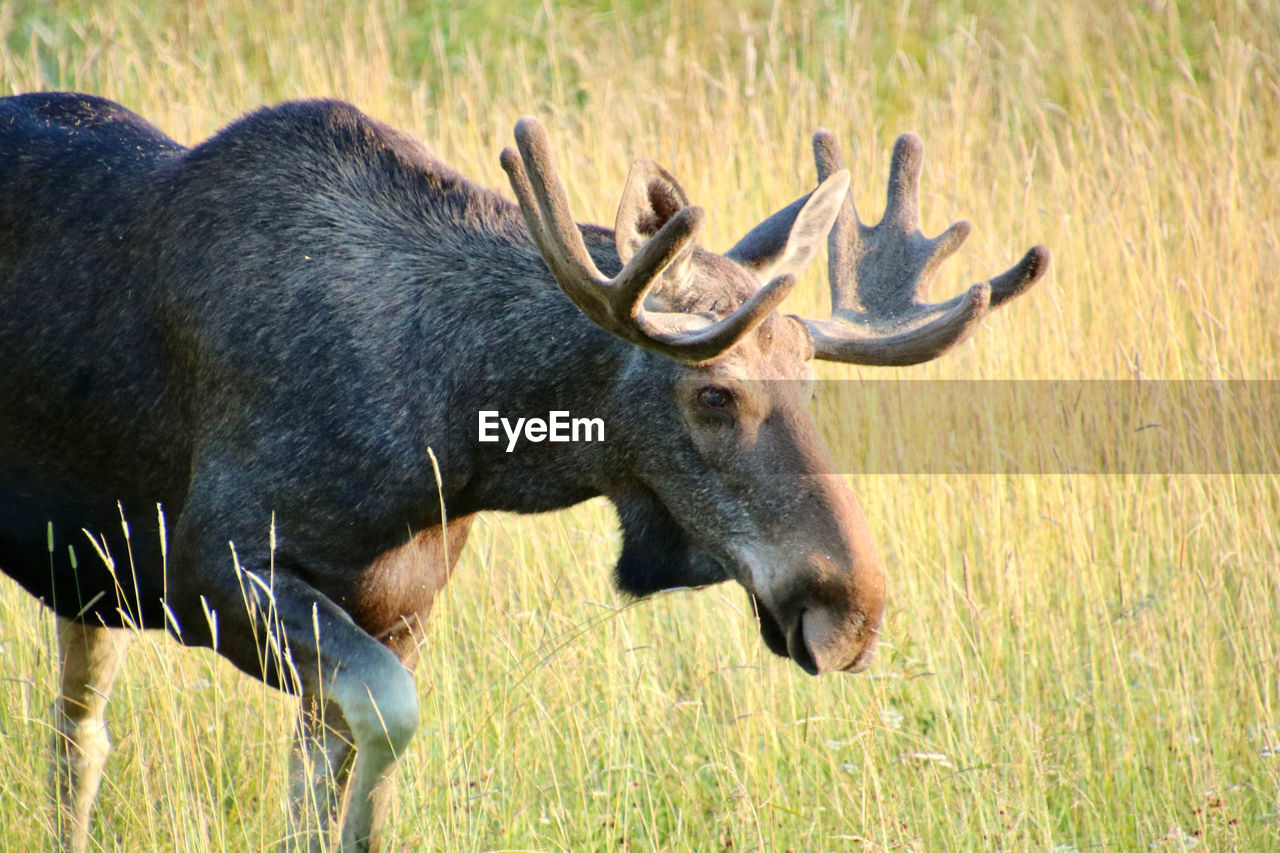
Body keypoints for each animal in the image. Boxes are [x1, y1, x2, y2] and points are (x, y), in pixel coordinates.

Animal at [0, 94, 1044, 850]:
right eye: (713, 393)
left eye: (811, 382)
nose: (854, 610)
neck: (456, 434)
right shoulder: (210, 562)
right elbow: (387, 718)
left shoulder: (401, 606)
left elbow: (327, 796)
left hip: (88, 585)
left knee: (76, 739)